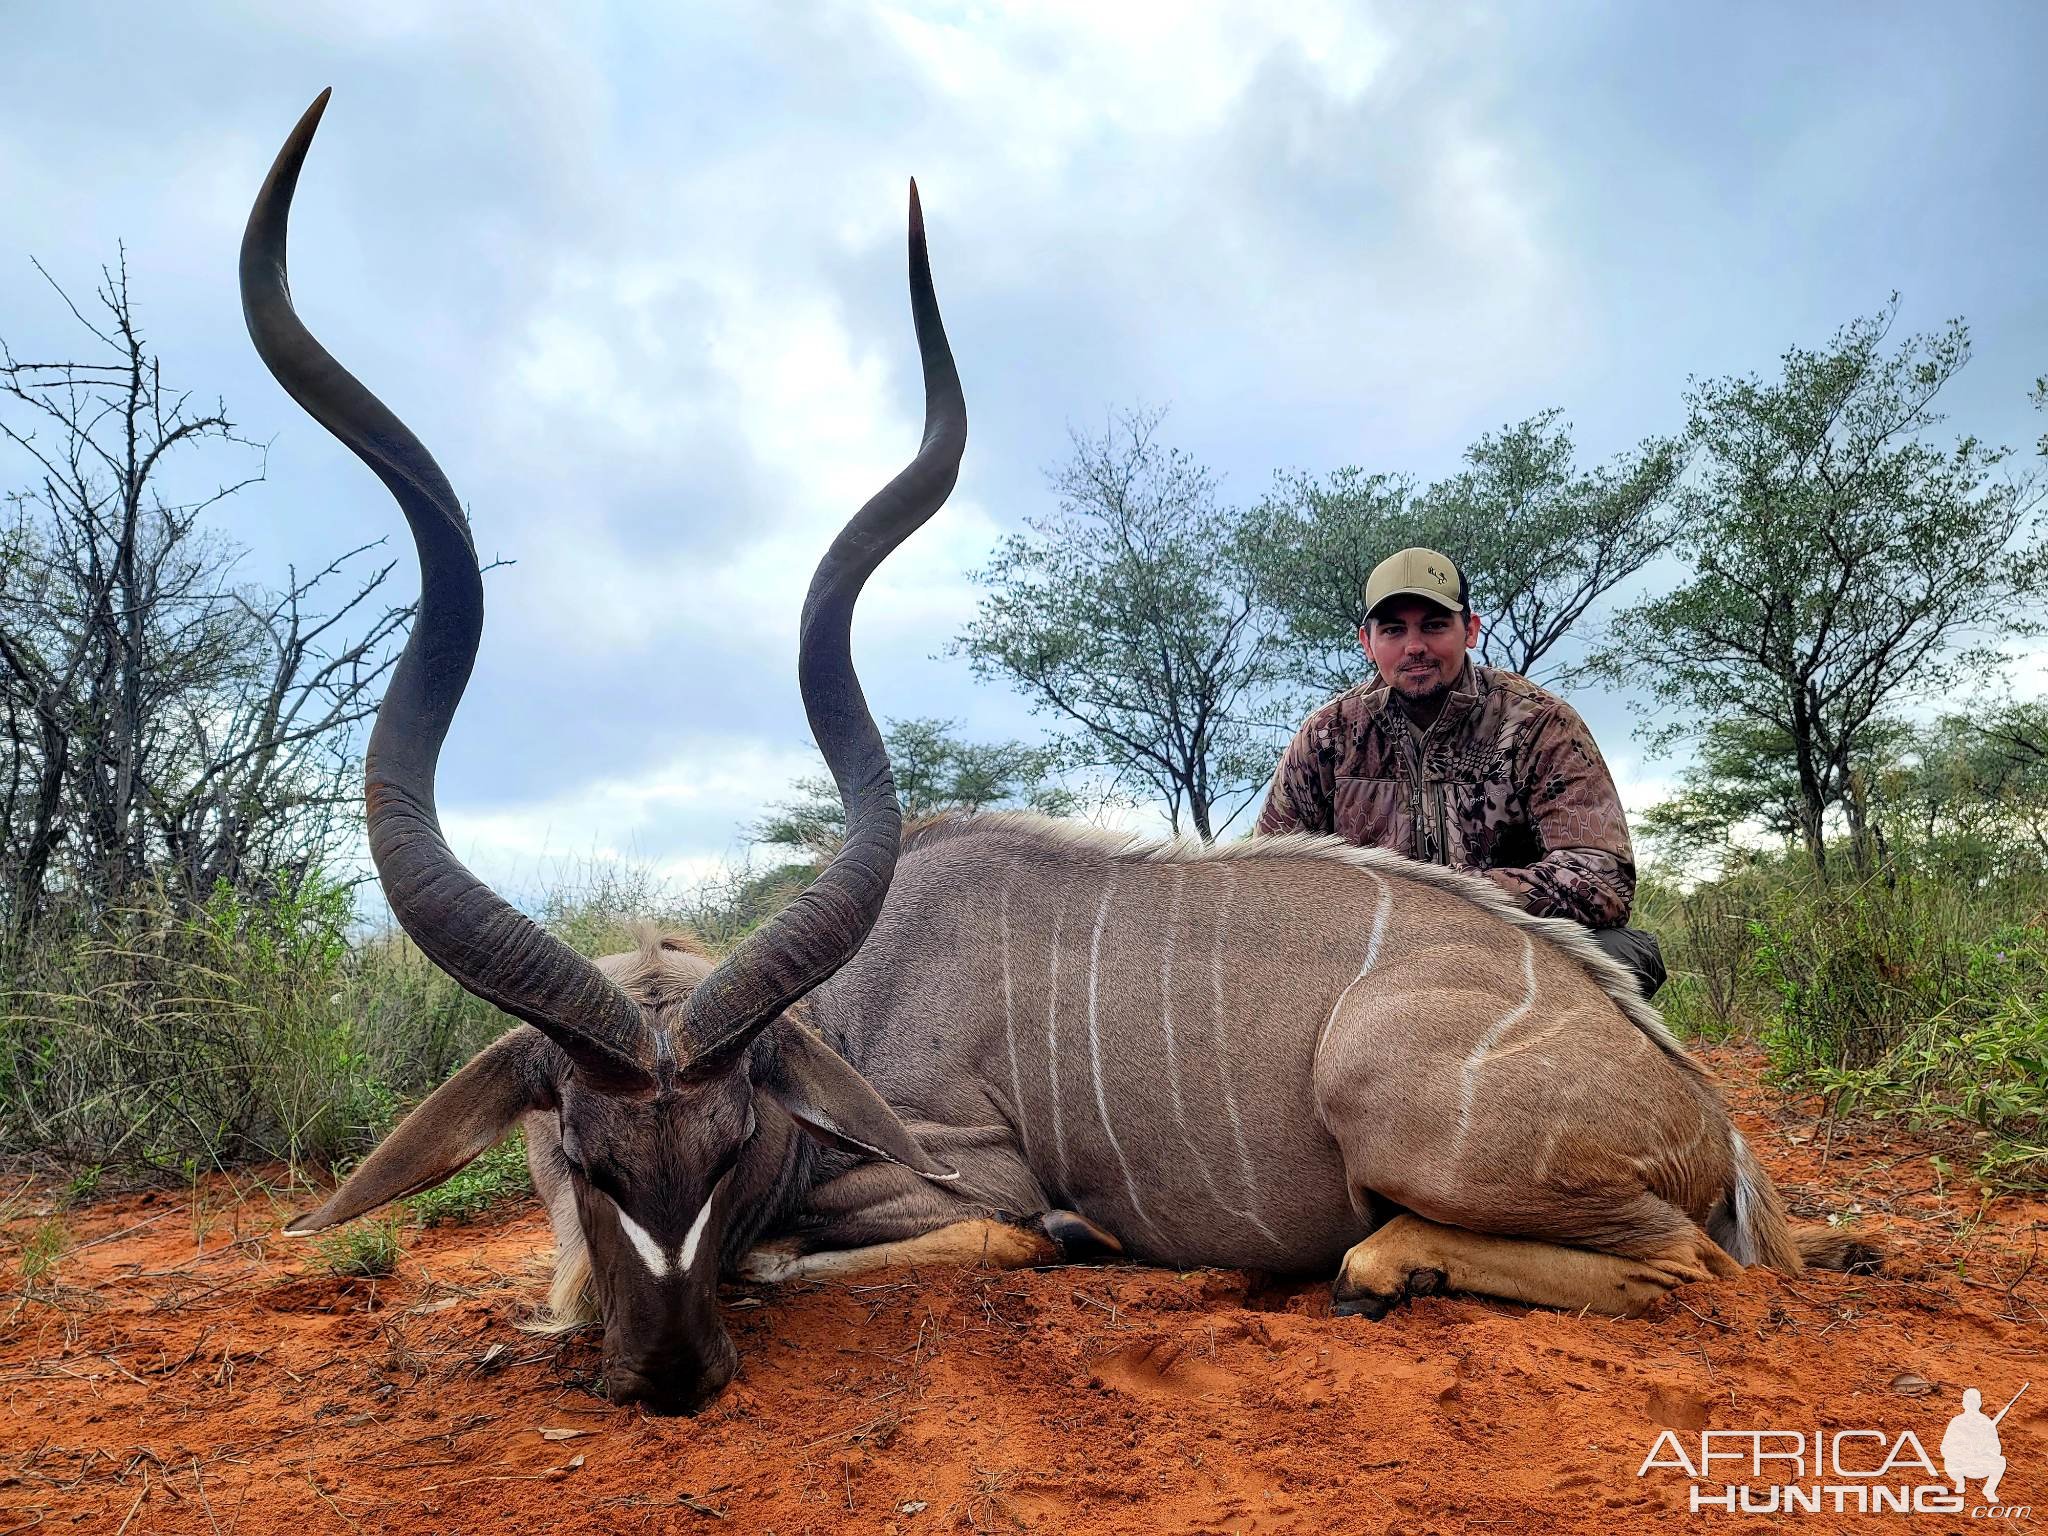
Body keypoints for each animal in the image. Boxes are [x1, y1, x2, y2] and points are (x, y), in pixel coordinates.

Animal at [251, 96, 1875, 1417]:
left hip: (1403, 1102)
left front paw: (1068, 1237)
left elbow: (874, 1244)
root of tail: (1709, 1126)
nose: (667, 1378)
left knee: (1673, 1268)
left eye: (729, 1148)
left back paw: (1386, 1264)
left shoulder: (959, 1171)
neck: (856, 1002)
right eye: (586, 1159)